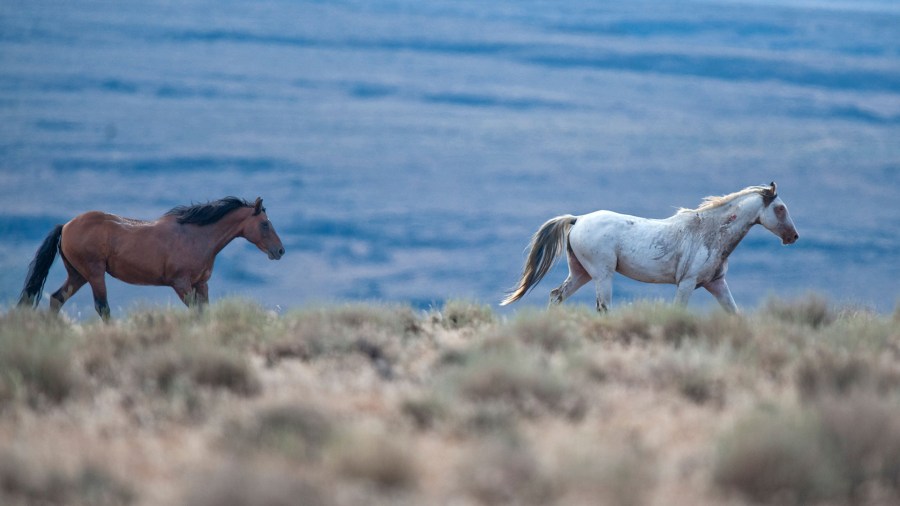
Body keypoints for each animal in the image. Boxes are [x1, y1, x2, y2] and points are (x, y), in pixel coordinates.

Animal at [18, 197, 284, 320]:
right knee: (102, 307)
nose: (279, 251)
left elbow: (203, 312)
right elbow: (195, 311)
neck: (196, 236)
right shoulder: (180, 284)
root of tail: (65, 226)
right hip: (94, 273)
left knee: (56, 299)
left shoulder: (201, 284)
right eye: (264, 224)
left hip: (78, 275)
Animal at [500, 183, 800, 312]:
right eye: (780, 208)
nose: (793, 236)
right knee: (602, 307)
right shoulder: (687, 283)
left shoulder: (716, 283)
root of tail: (577, 219)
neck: (710, 232)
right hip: (601, 275)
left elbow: (735, 313)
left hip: (581, 273)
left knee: (556, 295)